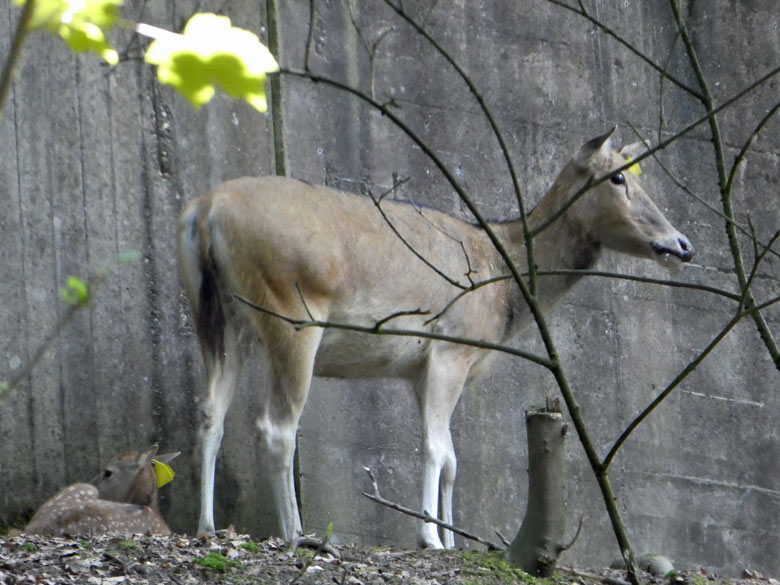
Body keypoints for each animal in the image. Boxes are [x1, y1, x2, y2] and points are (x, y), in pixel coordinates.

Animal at [181, 129, 696, 548]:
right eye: (618, 178)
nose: (683, 245)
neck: (503, 285)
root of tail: (204, 210)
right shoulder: (453, 347)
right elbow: (433, 447)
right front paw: (429, 537)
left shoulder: (419, 369)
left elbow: (450, 456)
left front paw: (451, 540)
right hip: (293, 314)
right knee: (277, 427)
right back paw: (296, 532)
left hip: (218, 317)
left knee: (210, 412)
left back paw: (206, 526)